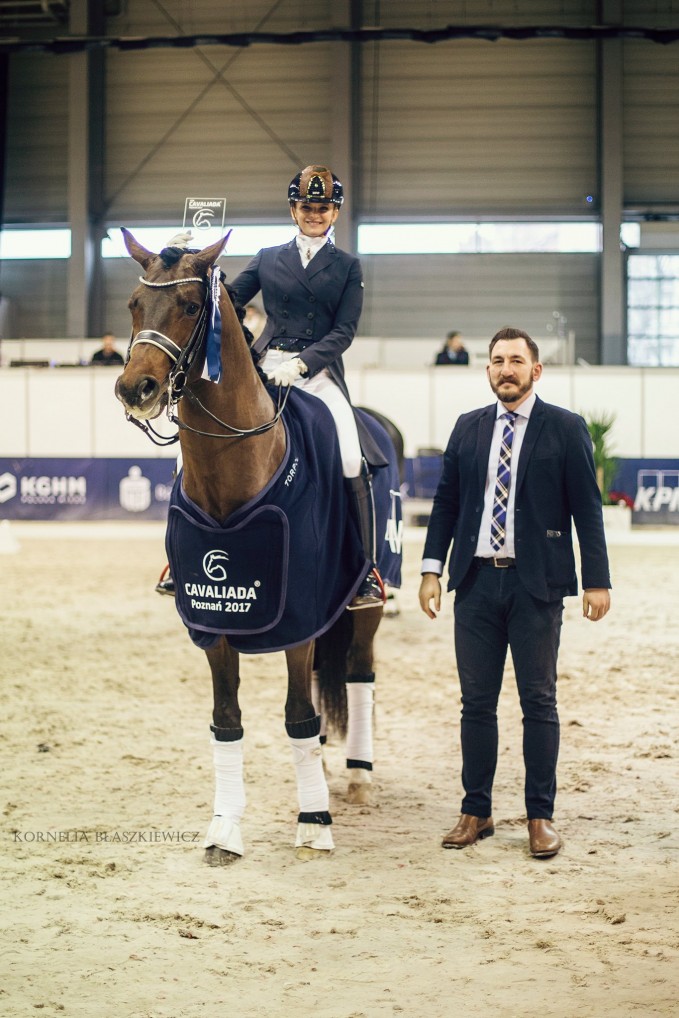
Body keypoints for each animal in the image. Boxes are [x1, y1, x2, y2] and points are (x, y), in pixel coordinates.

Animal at [115, 229, 402, 864]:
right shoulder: (214, 619)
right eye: (133, 305)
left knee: (360, 674)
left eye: (190, 306)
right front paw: (223, 829)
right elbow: (227, 720)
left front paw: (314, 822)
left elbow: (297, 715)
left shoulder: (295, 616)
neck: (233, 473)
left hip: (365, 602)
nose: (134, 389)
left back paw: (358, 774)